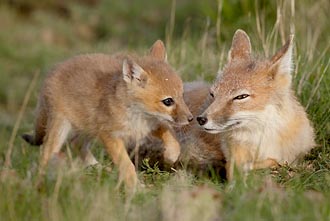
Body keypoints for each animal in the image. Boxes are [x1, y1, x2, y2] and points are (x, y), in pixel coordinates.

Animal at [21, 40, 192, 191]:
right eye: (168, 101)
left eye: (182, 95)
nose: (191, 118)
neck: (137, 115)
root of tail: (54, 69)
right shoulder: (110, 136)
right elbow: (127, 165)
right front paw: (135, 188)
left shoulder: (150, 125)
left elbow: (171, 137)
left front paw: (170, 155)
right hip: (61, 128)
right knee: (46, 153)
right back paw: (41, 182)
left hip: (88, 128)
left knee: (76, 144)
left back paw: (98, 168)